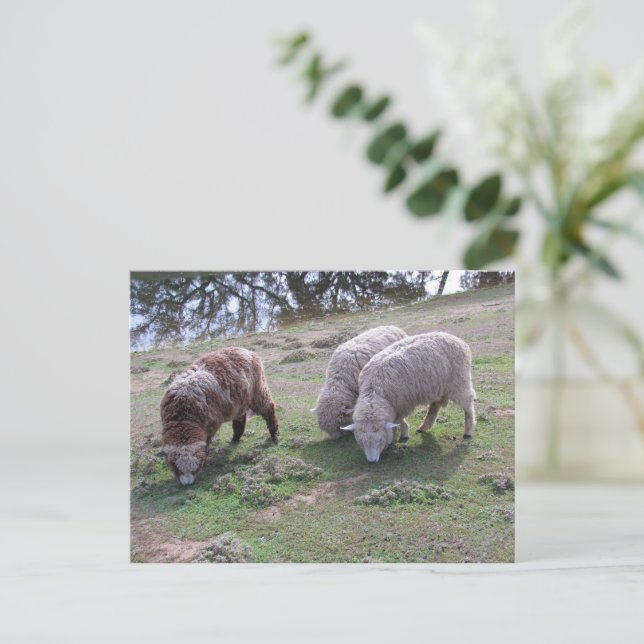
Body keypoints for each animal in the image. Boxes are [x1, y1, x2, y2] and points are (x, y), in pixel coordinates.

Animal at [160, 347, 279, 485]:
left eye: (196, 469)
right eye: (176, 469)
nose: (187, 484)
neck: (183, 415)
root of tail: (245, 350)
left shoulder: (211, 424)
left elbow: (207, 441)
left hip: (258, 391)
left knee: (269, 409)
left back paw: (274, 434)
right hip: (240, 401)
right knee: (240, 419)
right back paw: (235, 438)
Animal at [342, 332, 476, 463]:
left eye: (380, 440)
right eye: (361, 442)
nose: (372, 461)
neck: (375, 391)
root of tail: (458, 340)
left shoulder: (401, 403)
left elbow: (399, 419)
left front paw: (403, 434)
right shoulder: (396, 406)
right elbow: (398, 419)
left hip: (459, 381)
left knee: (468, 404)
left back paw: (468, 431)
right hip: (438, 386)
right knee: (435, 406)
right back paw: (424, 427)